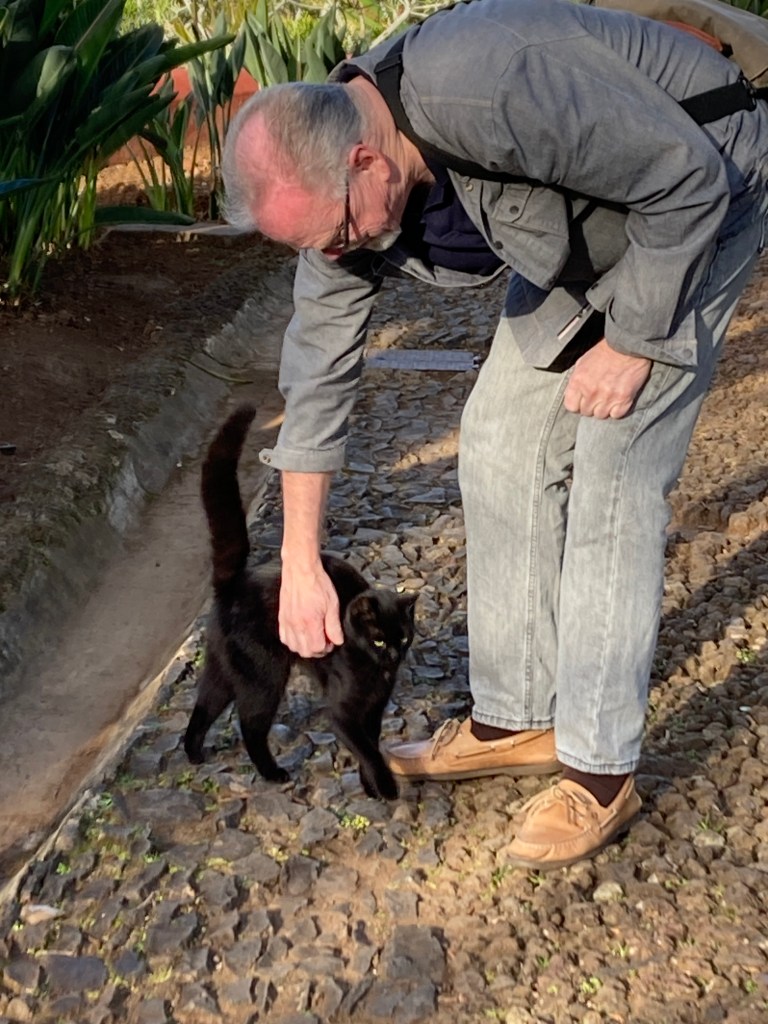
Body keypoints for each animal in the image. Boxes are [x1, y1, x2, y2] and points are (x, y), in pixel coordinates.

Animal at [183, 403, 417, 800]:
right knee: (250, 726)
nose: (393, 656)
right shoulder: (343, 712)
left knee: (204, 706)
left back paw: (194, 754)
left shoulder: (374, 708)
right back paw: (272, 772)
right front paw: (385, 787)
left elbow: (370, 743)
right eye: (378, 640)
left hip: (225, 669)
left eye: (402, 638)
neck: (373, 671)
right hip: (263, 677)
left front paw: (369, 787)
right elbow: (367, 748)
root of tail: (235, 583)